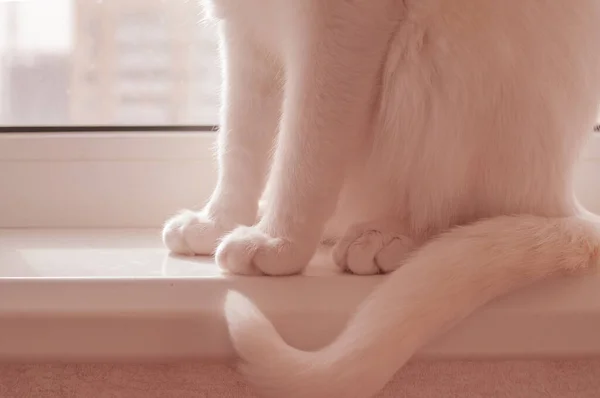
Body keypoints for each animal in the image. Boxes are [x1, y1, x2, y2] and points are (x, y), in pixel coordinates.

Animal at [162, 1, 600, 396]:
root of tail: (563, 196)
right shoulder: (243, 33)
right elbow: (238, 143)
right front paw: (217, 222)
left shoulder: (339, 23)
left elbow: (303, 150)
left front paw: (278, 241)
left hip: (438, 43)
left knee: (459, 213)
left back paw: (385, 237)